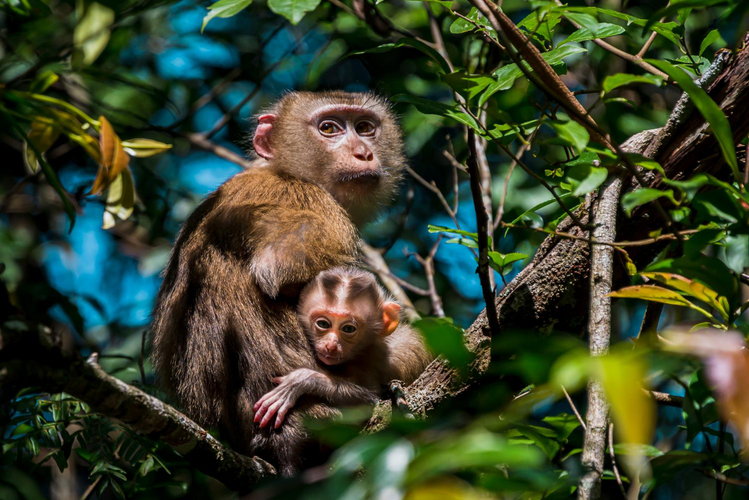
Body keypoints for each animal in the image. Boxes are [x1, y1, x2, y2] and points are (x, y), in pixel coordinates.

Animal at [150, 92, 406, 474]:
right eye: (329, 128)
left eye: (365, 127)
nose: (363, 152)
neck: (281, 170)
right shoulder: (314, 206)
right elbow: (278, 274)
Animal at [254, 268, 430, 428]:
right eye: (323, 324)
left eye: (348, 329)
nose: (331, 345)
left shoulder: (372, 357)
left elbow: (372, 401)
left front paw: (302, 381)